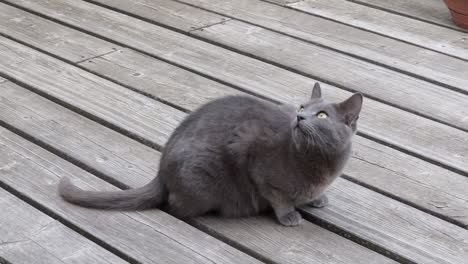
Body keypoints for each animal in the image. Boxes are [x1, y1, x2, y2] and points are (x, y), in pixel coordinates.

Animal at [59, 83, 362, 226]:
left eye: (321, 115)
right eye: (302, 106)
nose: (299, 117)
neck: (321, 163)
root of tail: (161, 171)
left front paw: (317, 199)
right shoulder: (255, 159)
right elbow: (279, 199)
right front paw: (289, 215)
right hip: (203, 176)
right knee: (175, 205)